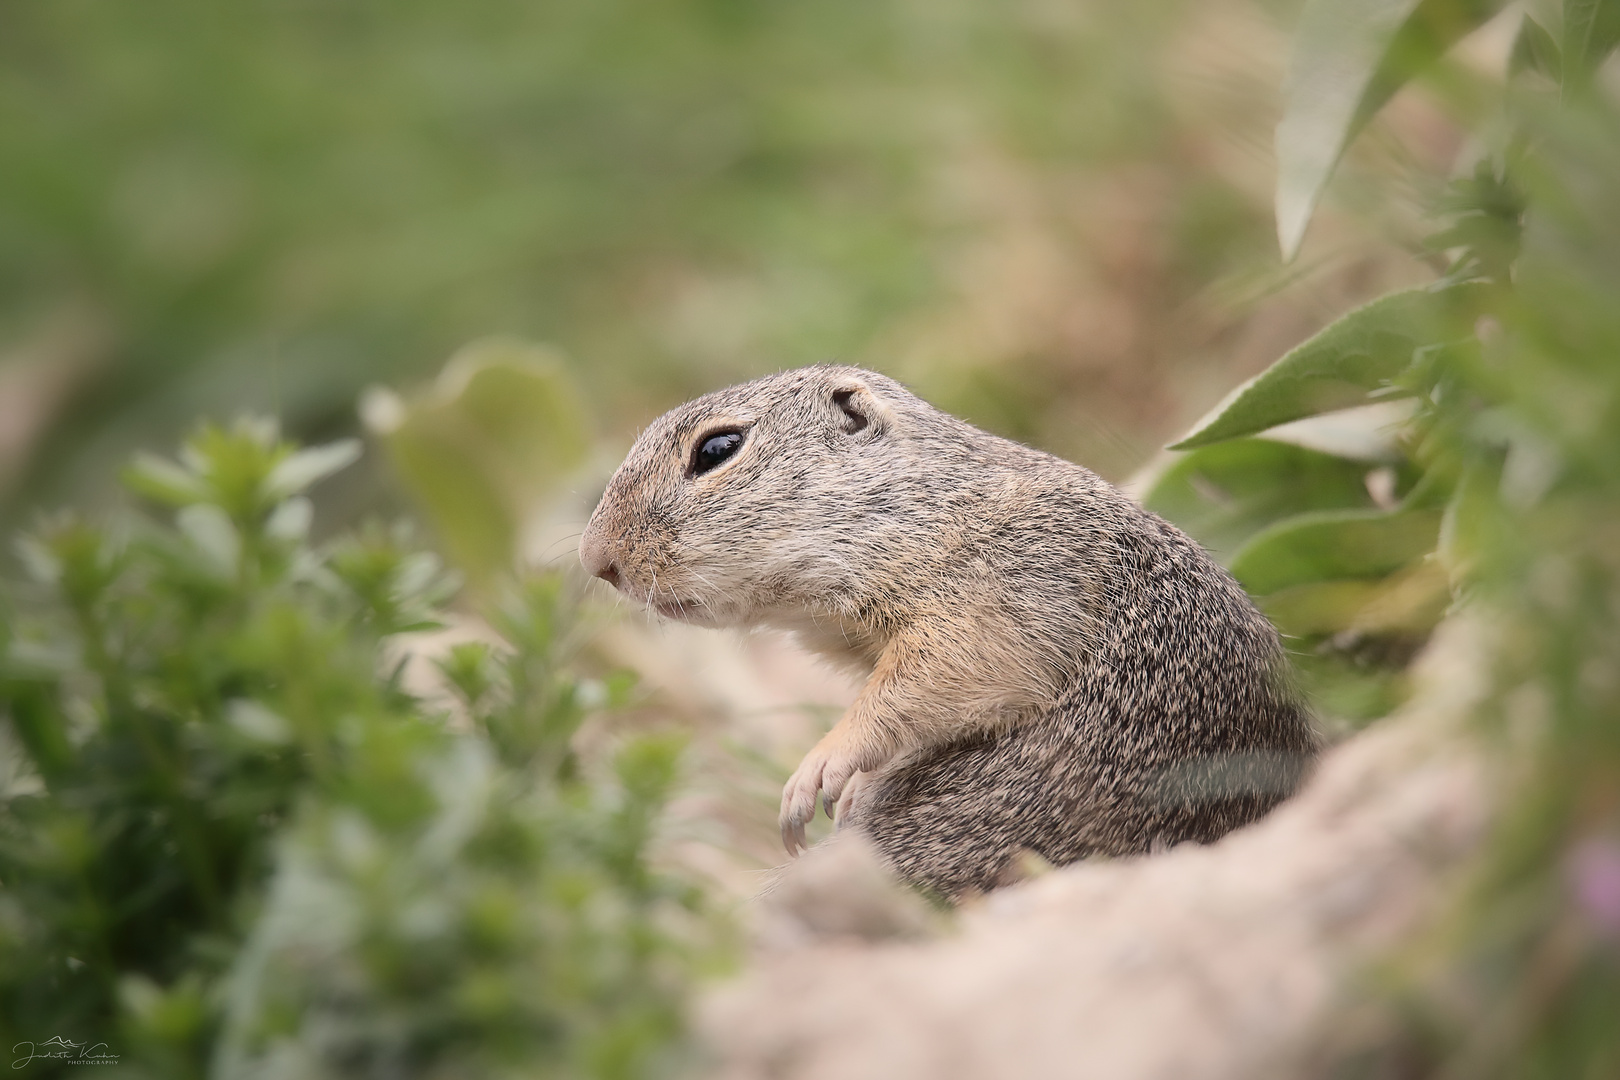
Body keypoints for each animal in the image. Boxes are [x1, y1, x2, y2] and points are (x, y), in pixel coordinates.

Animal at [579, 367, 1315, 900]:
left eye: (717, 449)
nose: (595, 559)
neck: (928, 505)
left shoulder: (985, 597)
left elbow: (922, 686)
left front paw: (819, 770)